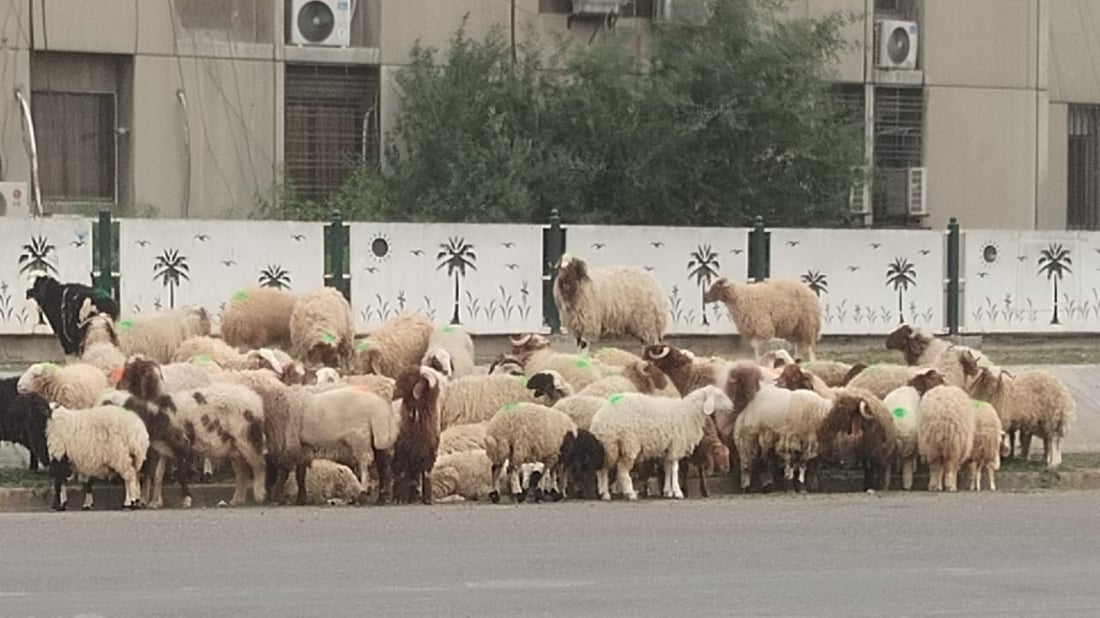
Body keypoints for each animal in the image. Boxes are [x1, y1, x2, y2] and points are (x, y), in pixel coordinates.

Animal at [389, 365, 444, 501]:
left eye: (406, 383)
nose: (393, 400)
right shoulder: (402, 453)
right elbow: (403, 475)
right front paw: (401, 498)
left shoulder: (429, 455)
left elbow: (426, 476)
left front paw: (427, 499)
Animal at [589, 382, 734, 497]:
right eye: (719, 396)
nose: (732, 407)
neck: (688, 412)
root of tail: (601, 417)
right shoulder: (676, 445)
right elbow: (675, 470)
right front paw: (677, 492)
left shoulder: (668, 448)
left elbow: (668, 469)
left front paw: (668, 492)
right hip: (629, 443)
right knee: (622, 469)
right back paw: (629, 493)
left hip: (609, 445)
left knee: (602, 469)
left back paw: (604, 494)